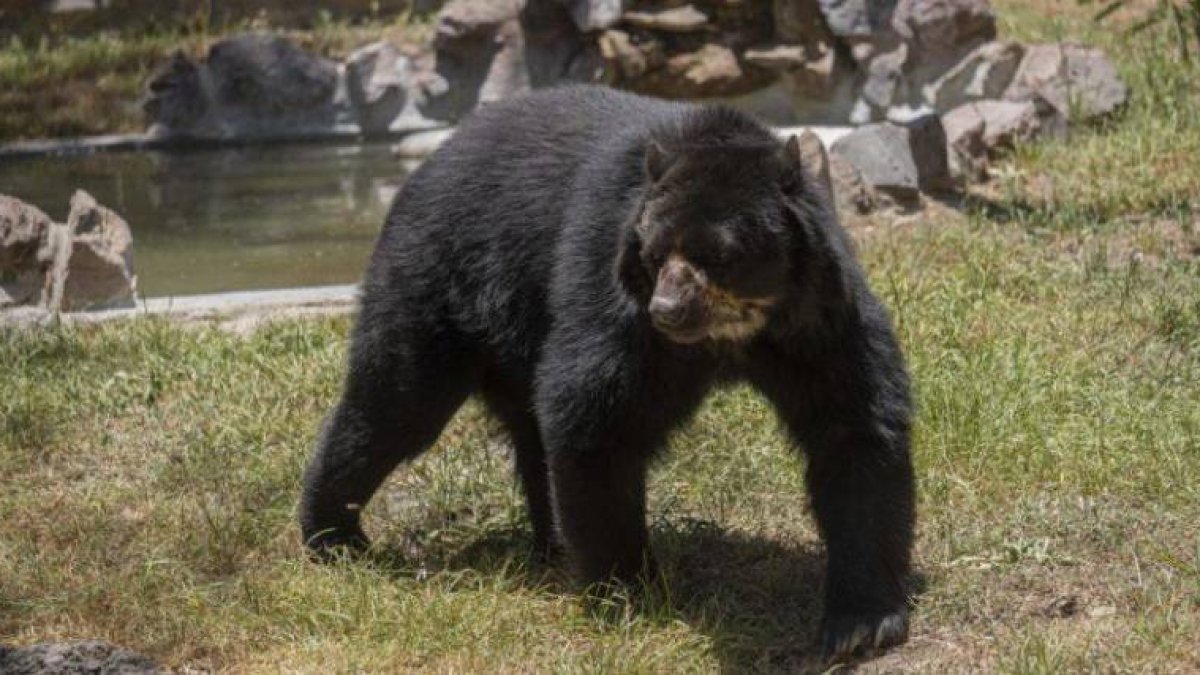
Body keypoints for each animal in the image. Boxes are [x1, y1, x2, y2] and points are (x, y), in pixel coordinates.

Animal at [300, 85, 915, 661]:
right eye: (655, 252)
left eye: (717, 255)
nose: (667, 310)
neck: (734, 335)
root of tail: (428, 165)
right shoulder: (613, 296)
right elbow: (595, 417)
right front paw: (629, 594)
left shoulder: (818, 319)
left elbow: (854, 427)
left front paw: (860, 624)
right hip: (441, 282)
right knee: (395, 405)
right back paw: (335, 535)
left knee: (518, 432)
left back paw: (549, 543)